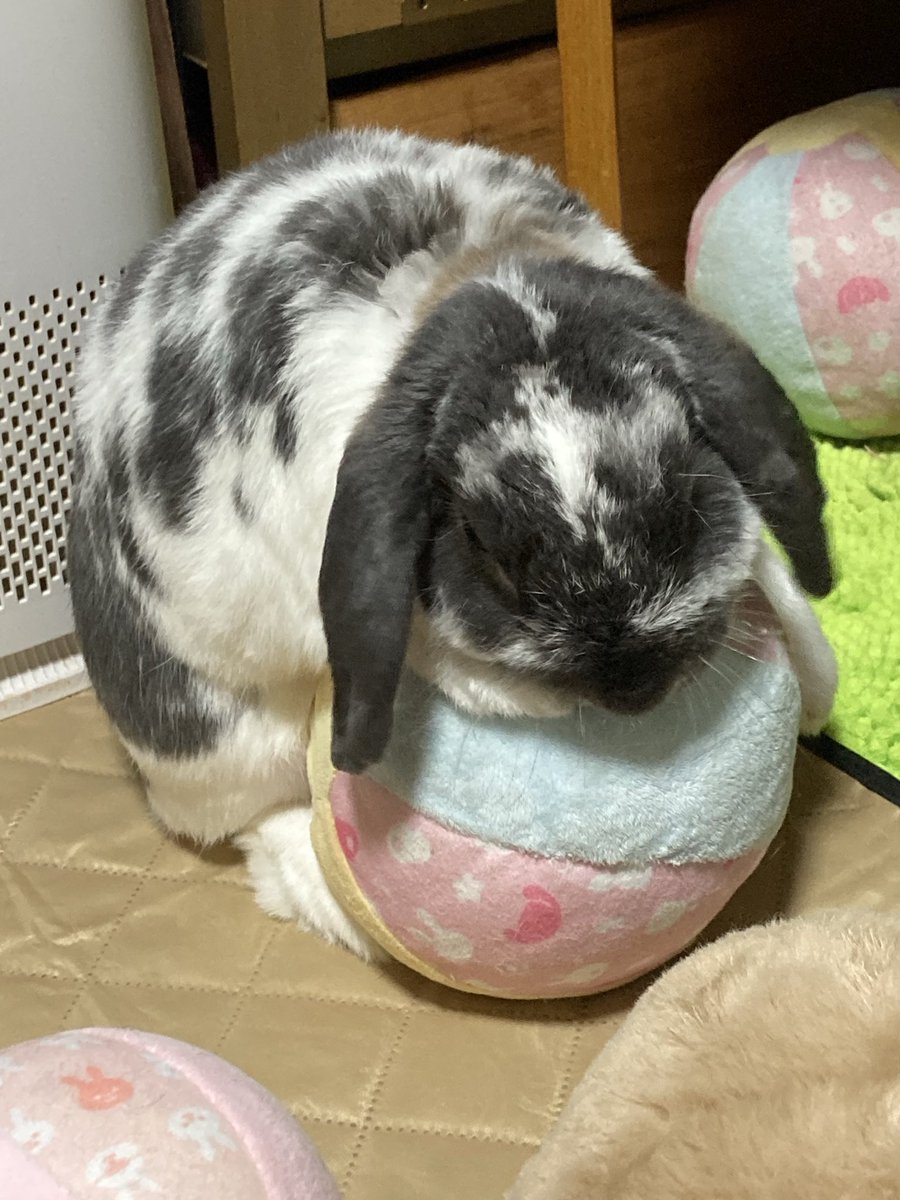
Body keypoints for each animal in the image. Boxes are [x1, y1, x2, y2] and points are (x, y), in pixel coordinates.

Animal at [68, 128, 837, 959]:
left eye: (685, 499)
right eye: (485, 547)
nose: (635, 688)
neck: (479, 277)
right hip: (221, 740)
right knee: (254, 819)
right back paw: (325, 897)